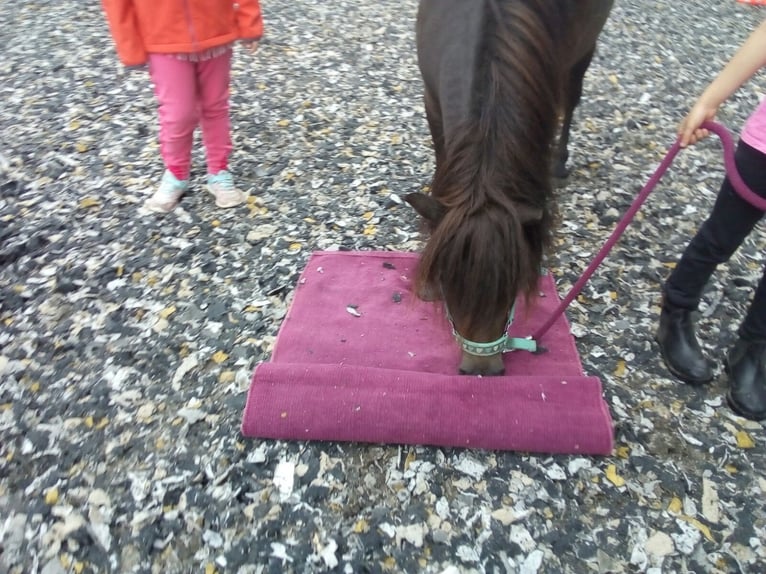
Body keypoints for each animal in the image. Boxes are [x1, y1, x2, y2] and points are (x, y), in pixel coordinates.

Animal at [405, 0, 613, 376]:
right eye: (449, 283)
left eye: (512, 286)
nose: (481, 368)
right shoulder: (431, 101)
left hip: (583, 50)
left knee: (572, 97)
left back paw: (561, 162)